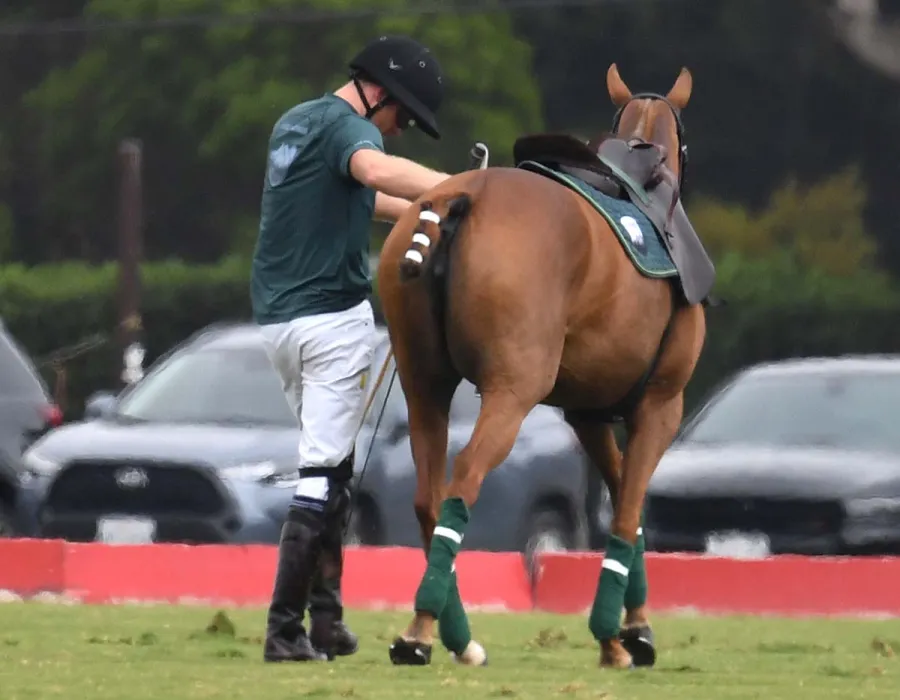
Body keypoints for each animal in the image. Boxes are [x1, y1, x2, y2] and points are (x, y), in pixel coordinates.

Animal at [376, 63, 707, 670]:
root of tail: (463, 194)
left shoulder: (587, 413)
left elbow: (625, 504)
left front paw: (623, 632)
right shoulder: (661, 404)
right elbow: (628, 512)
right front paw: (624, 633)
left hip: (423, 384)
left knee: (428, 496)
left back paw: (450, 635)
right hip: (514, 390)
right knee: (465, 481)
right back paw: (423, 631)